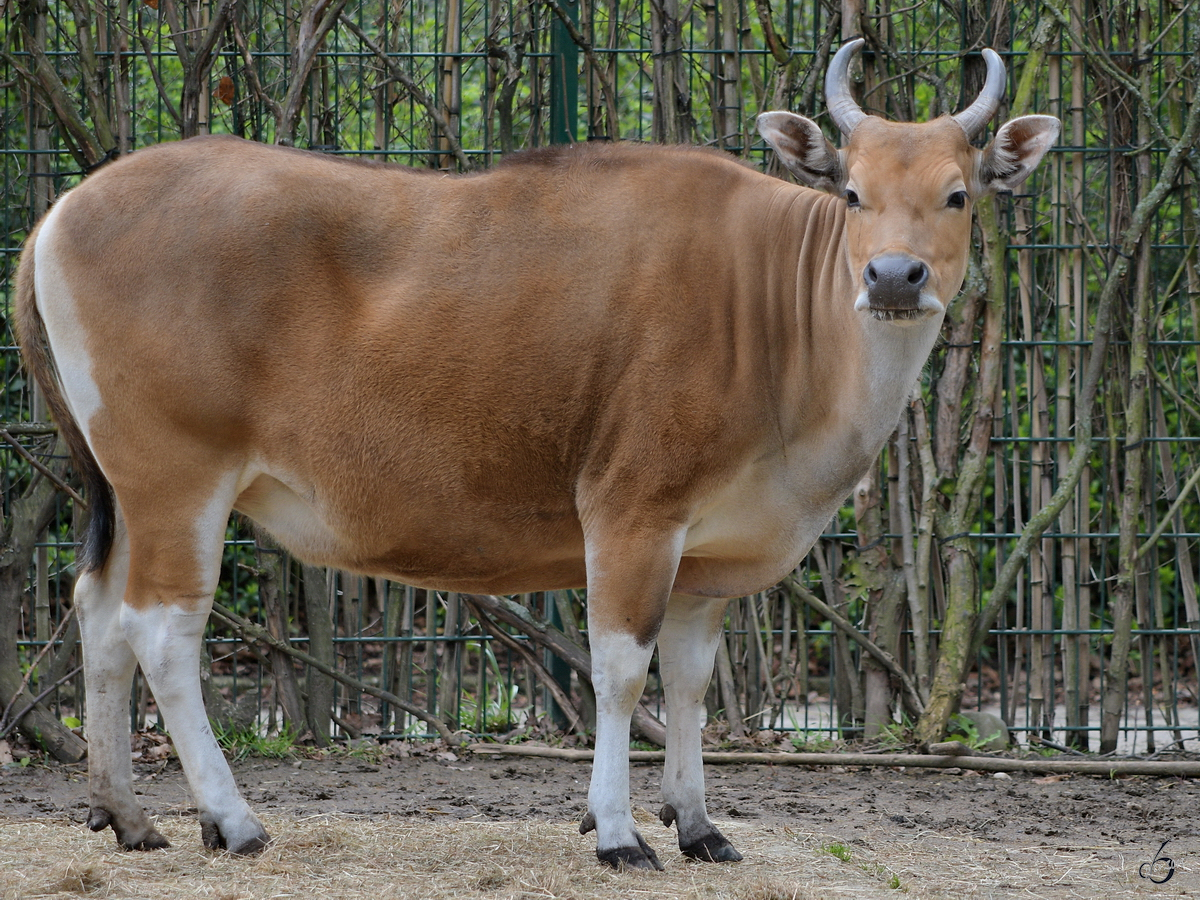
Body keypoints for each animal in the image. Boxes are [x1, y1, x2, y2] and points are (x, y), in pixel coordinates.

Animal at [14, 38, 1056, 868]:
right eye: (851, 192)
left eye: (957, 194)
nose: (893, 276)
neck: (772, 309)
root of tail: (63, 212)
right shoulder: (631, 513)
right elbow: (620, 672)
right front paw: (620, 832)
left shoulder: (706, 556)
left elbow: (689, 685)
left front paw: (697, 825)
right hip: (178, 478)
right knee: (162, 631)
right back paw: (231, 820)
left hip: (124, 488)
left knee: (98, 613)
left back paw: (127, 814)